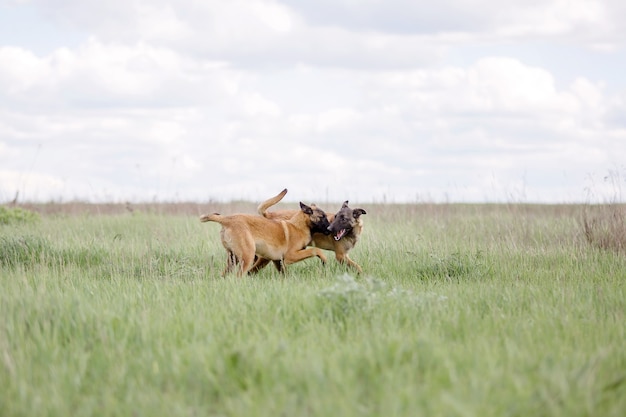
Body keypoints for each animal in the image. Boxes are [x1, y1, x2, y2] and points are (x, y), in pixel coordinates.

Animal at [200, 198, 330, 276]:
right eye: (322, 217)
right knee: (239, 276)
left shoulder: (278, 260)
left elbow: (284, 275)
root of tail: (226, 219)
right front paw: (324, 259)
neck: (298, 226)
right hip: (247, 256)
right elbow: (315, 250)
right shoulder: (290, 256)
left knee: (225, 275)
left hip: (233, 259)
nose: (330, 229)